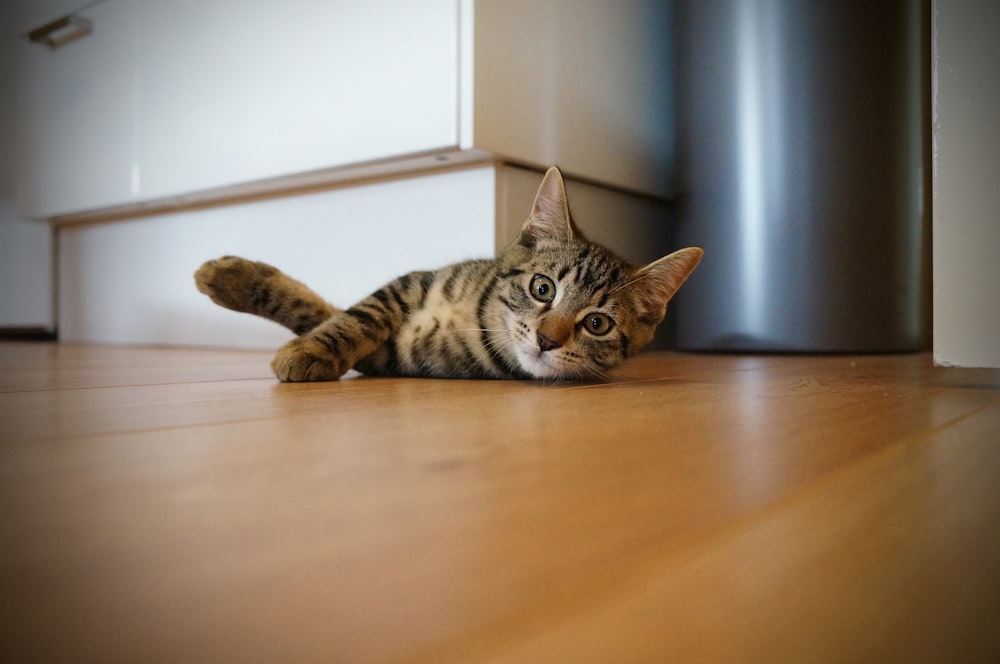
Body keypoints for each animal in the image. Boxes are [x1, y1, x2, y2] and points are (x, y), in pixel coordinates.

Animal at [193, 166, 704, 382]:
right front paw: (232, 279)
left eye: (597, 323)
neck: (476, 316)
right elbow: (346, 314)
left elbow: (339, 319)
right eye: (543, 288)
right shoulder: (408, 285)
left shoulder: (391, 357)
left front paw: (307, 352)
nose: (546, 340)